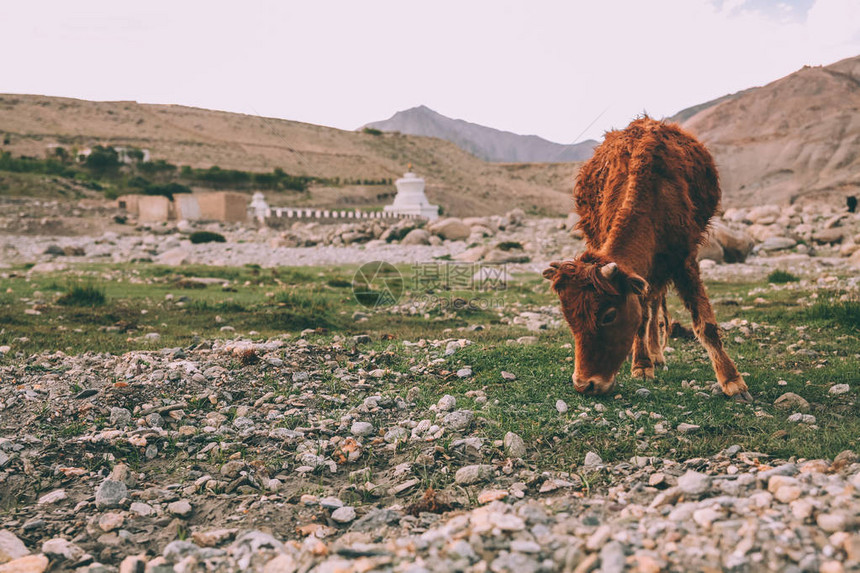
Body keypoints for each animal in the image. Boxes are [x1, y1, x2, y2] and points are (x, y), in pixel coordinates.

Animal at [548, 118, 748, 400]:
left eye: (609, 315)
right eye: (569, 319)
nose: (584, 385)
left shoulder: (684, 260)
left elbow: (704, 323)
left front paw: (733, 381)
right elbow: (640, 319)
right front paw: (642, 365)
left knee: (655, 303)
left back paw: (657, 353)